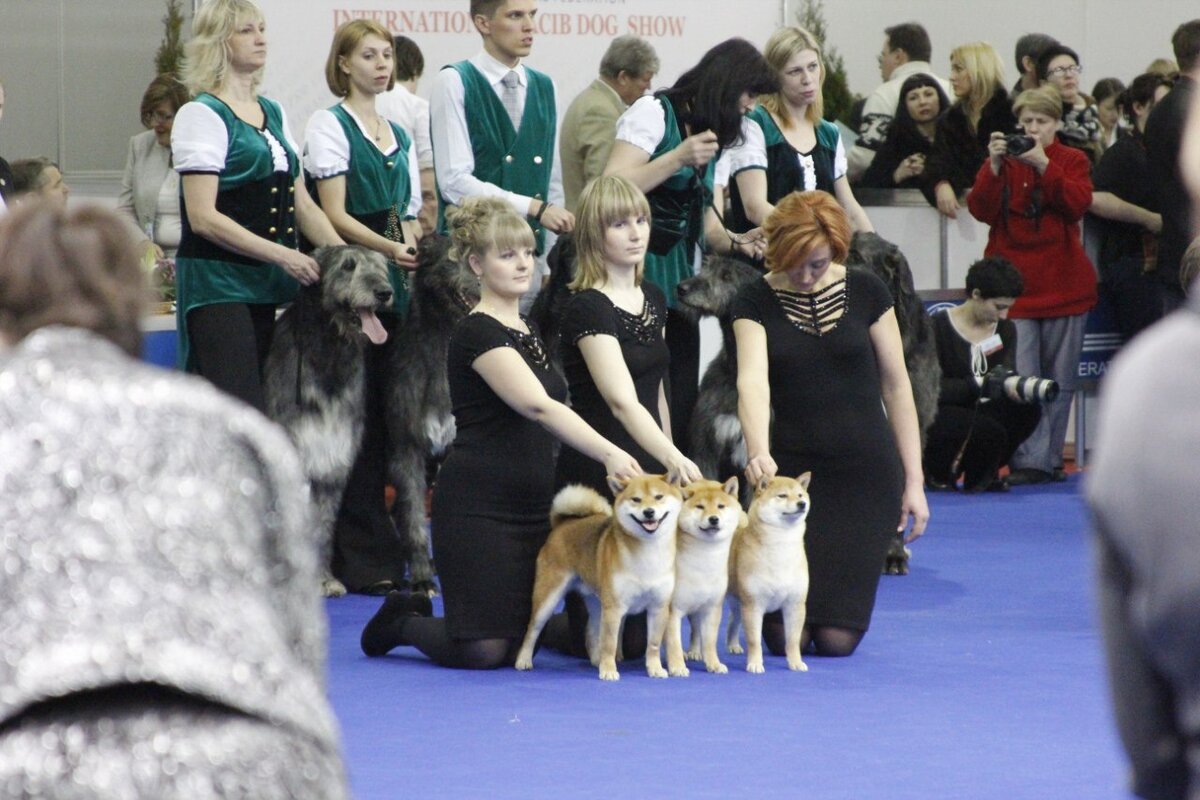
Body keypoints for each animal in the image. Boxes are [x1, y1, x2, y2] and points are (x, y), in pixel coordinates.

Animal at [262, 247, 393, 597]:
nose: (385, 292)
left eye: (382, 266)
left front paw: (323, 579)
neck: (329, 352)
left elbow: (321, 529)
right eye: (348, 266)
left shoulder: (332, 462)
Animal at [516, 474, 686, 681]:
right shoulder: (614, 608)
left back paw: (596, 660)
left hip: (597, 602)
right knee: (532, 630)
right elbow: (610, 643)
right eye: (636, 499)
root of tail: (562, 524)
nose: (648, 512)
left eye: (659, 497)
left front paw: (655, 668)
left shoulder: (658, 607)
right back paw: (523, 660)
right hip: (548, 598)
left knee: (591, 633)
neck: (648, 552)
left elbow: (652, 644)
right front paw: (609, 670)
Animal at [667, 479, 739, 681]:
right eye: (700, 507)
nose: (713, 519)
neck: (705, 560)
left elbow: (709, 641)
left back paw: (693, 652)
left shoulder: (712, 609)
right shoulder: (672, 610)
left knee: (695, 630)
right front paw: (677, 666)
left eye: (720, 506)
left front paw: (713, 664)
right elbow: (674, 643)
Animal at [724, 474, 811, 676]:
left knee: (733, 620)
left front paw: (796, 662)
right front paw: (755, 664)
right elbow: (754, 640)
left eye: (800, 495)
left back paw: (733, 645)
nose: (802, 503)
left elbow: (793, 640)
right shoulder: (753, 605)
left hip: (738, 602)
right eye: (782, 495)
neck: (781, 546)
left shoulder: (795, 605)